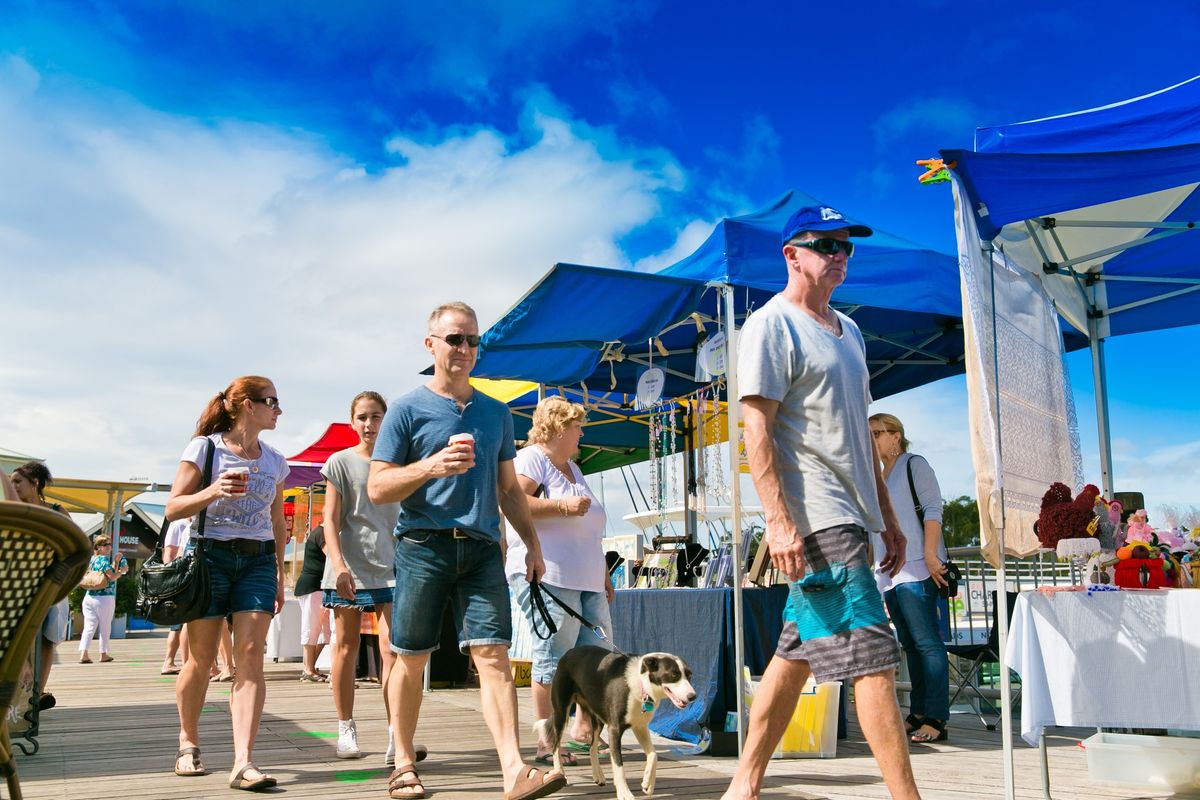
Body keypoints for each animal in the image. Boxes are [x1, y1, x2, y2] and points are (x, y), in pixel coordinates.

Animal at [540, 642, 700, 800]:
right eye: (674, 675)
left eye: (690, 676)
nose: (693, 696)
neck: (641, 685)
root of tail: (570, 652)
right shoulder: (615, 730)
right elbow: (618, 764)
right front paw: (624, 792)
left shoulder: (640, 727)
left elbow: (653, 755)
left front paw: (647, 783)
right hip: (561, 712)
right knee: (555, 746)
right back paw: (560, 773)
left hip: (598, 717)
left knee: (592, 747)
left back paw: (598, 775)